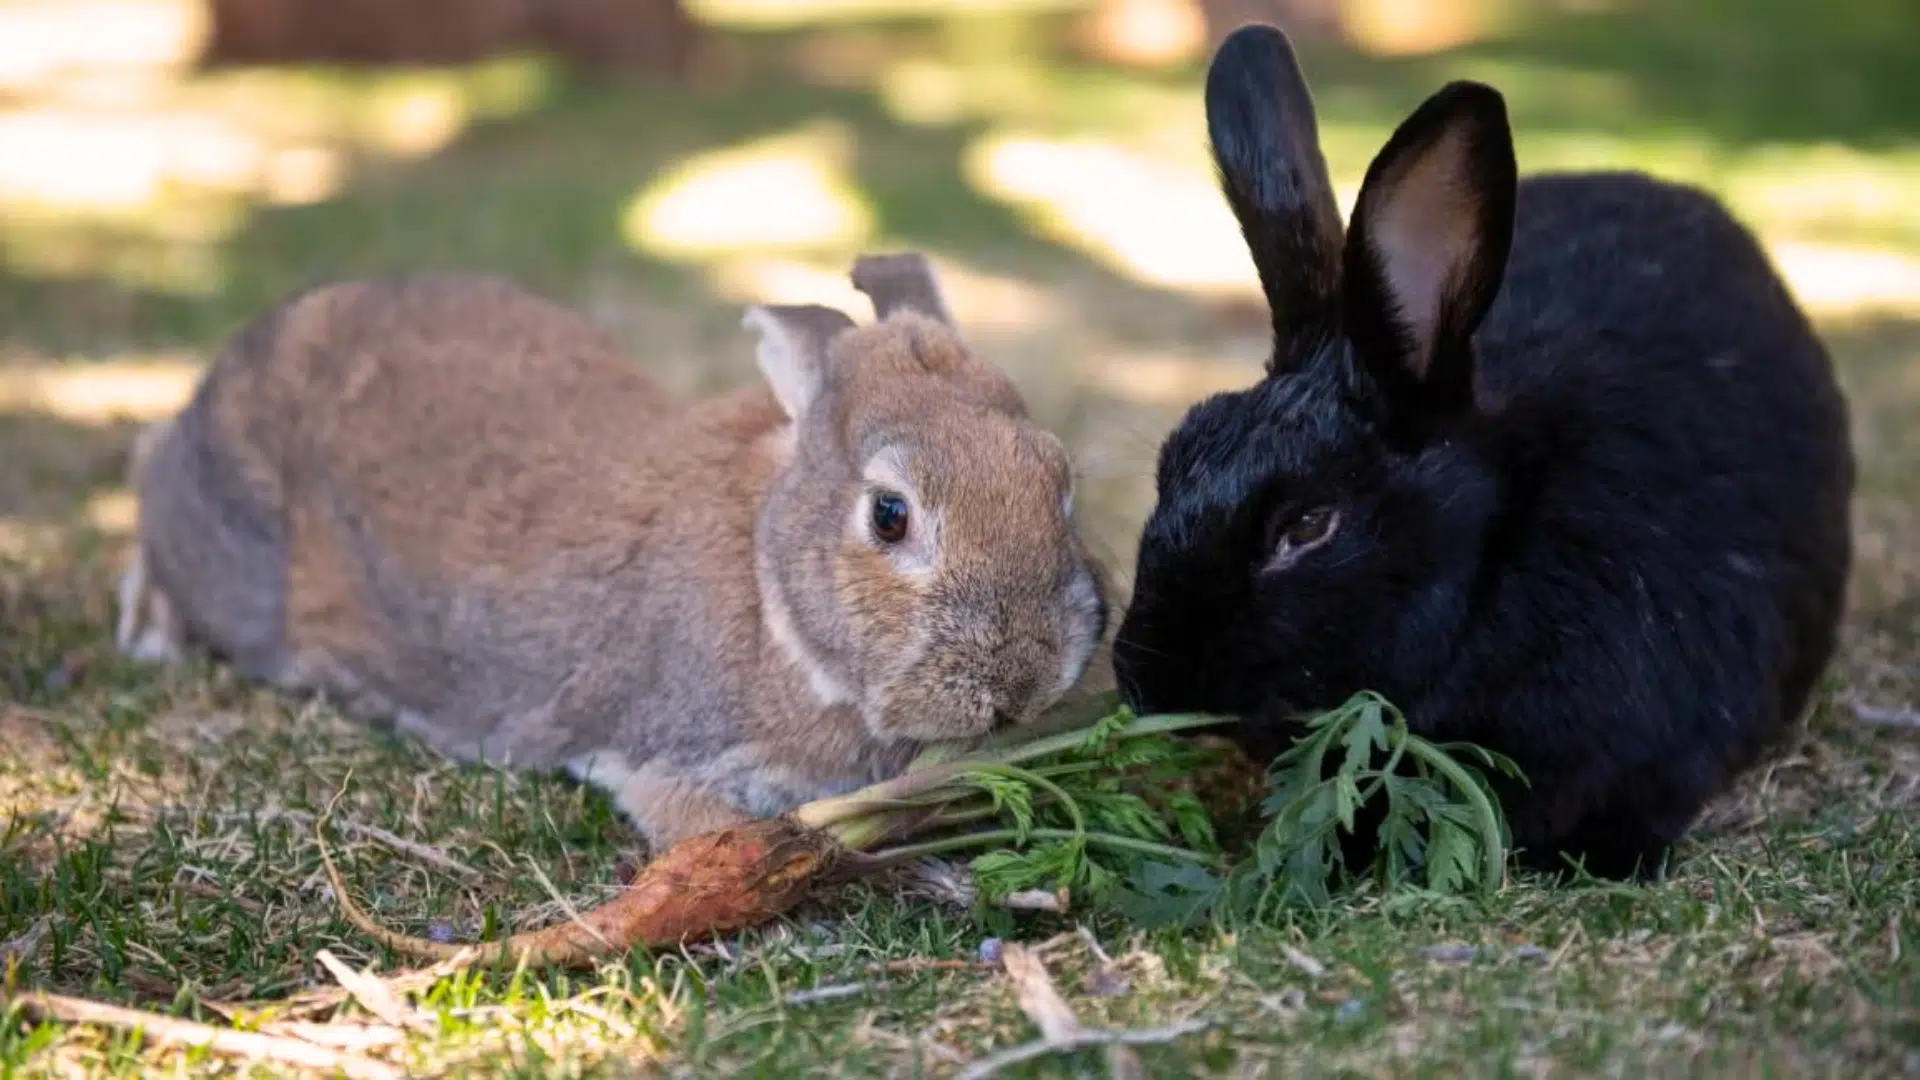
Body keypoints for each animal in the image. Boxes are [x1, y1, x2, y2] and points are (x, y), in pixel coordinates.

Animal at [116, 255, 1111, 851]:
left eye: (1058, 478)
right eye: (891, 515)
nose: (1025, 678)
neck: (772, 596)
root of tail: (236, 361)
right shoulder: (664, 761)